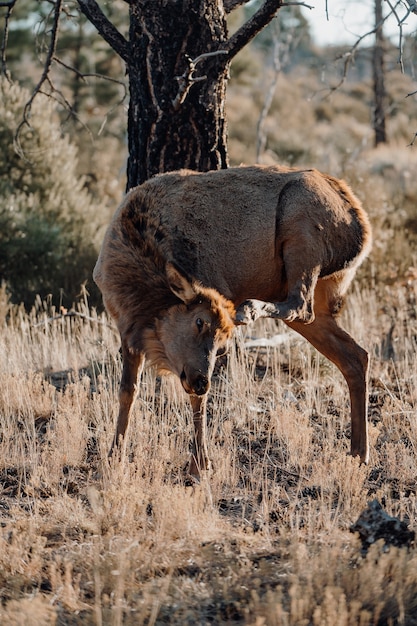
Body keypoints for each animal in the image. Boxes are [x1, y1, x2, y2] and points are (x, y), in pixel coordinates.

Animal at [93, 163, 370, 476]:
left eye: (223, 346)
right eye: (198, 322)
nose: (201, 380)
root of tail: (362, 228)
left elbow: (197, 402)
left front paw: (200, 464)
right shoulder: (127, 329)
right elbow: (128, 391)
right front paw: (114, 456)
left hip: (301, 232)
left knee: (300, 305)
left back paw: (249, 308)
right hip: (317, 302)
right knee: (355, 355)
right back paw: (359, 453)